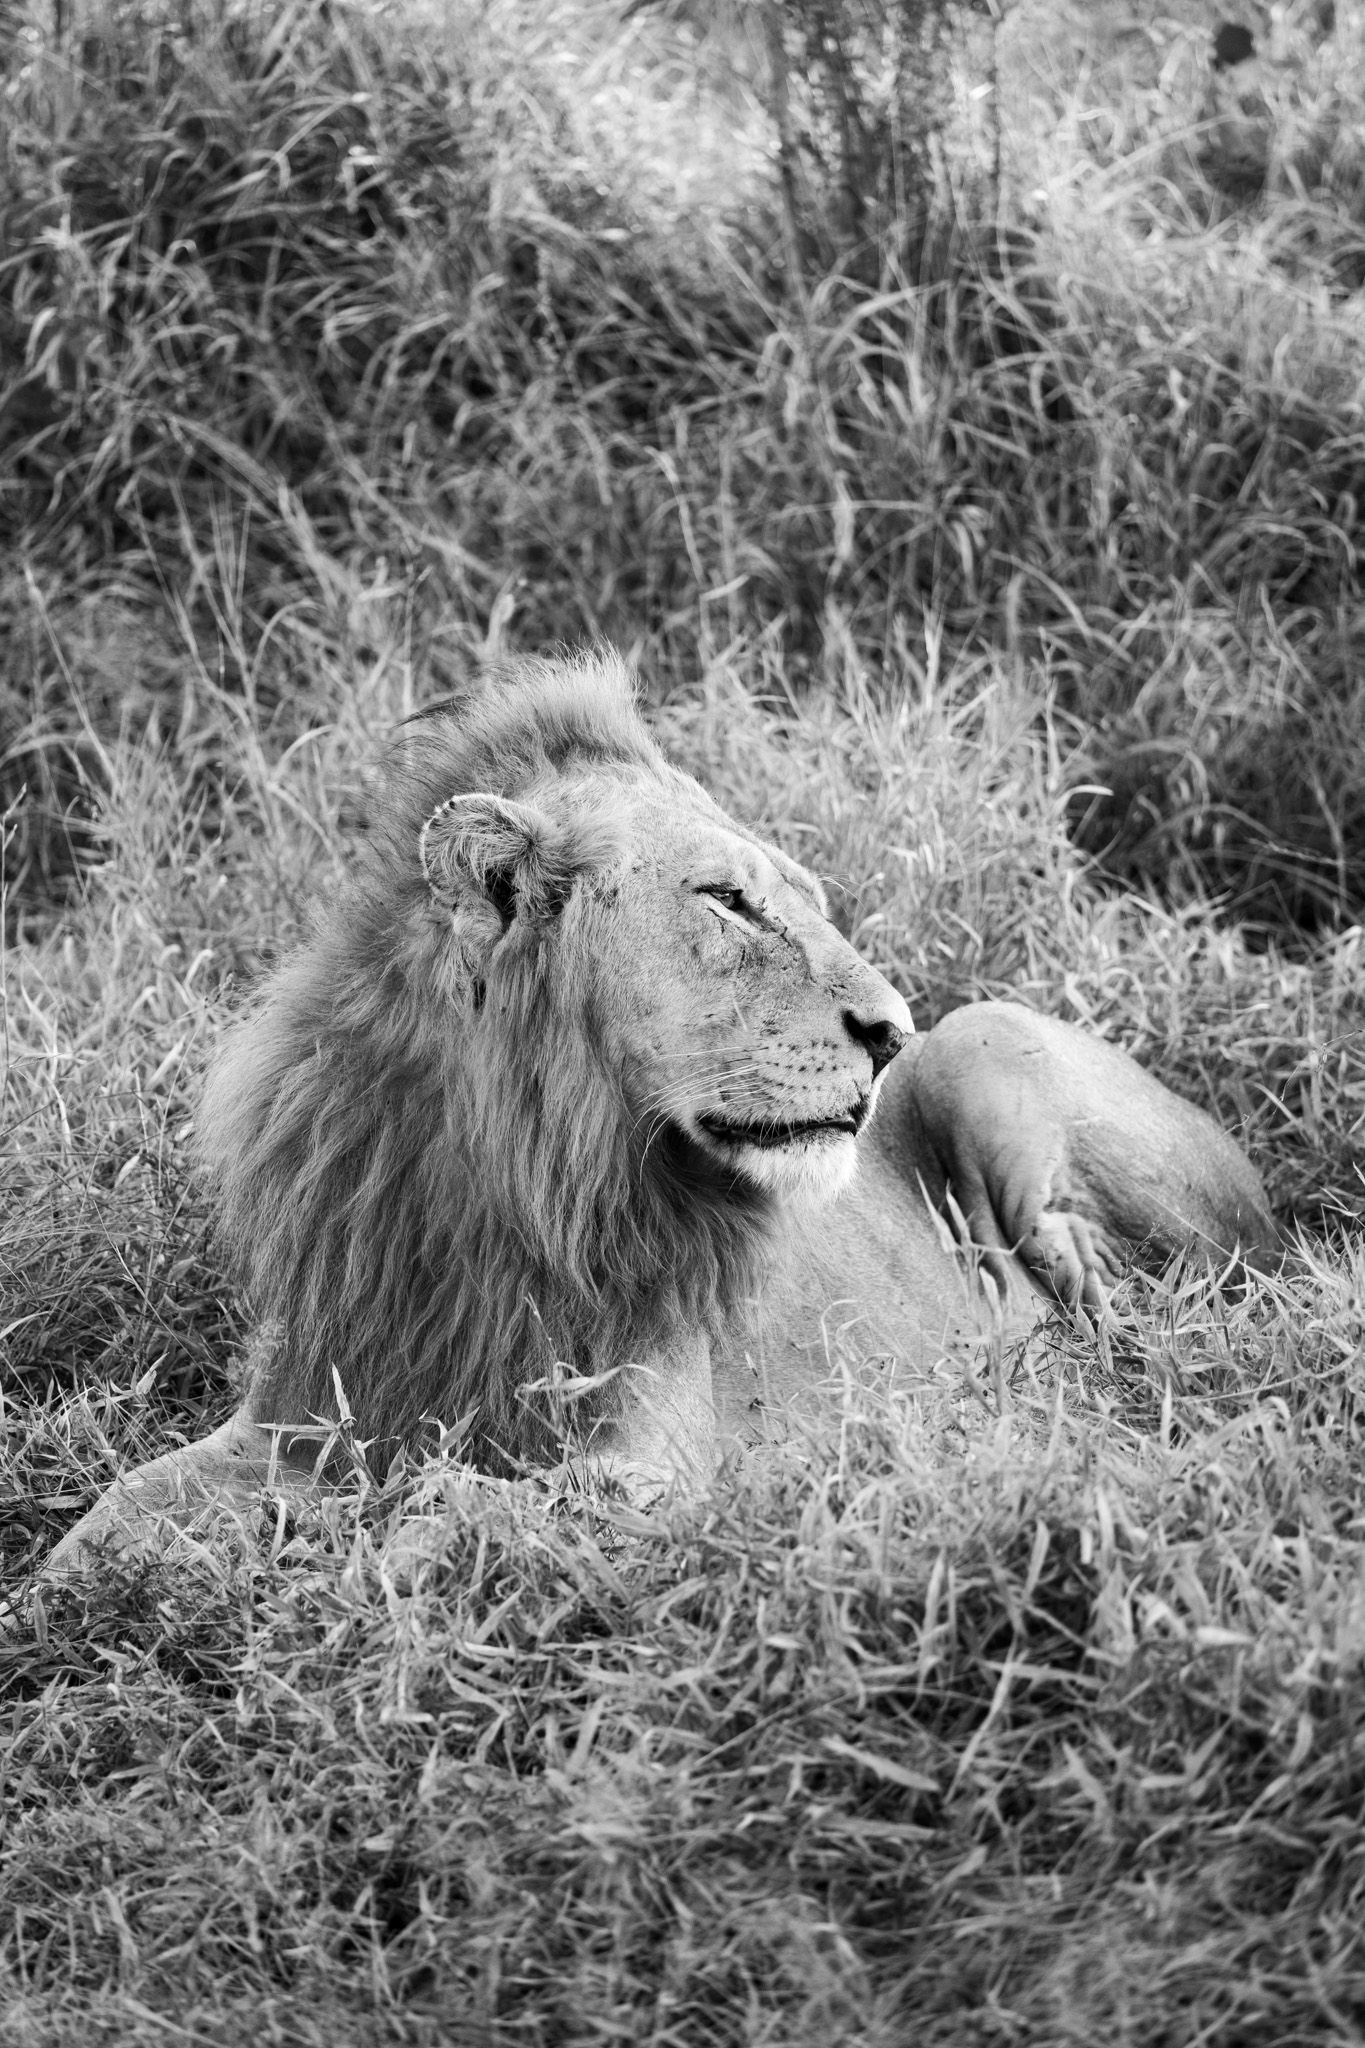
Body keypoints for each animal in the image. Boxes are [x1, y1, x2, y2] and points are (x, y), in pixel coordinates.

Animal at [48, 649, 1282, 1569]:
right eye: (728, 900)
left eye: (806, 898)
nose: (891, 1031)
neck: (510, 1181)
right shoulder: (306, 1405)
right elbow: (113, 1509)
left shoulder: (655, 1459)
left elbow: (468, 1508)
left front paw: (361, 1566)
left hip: (989, 1045)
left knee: (1136, 1314)